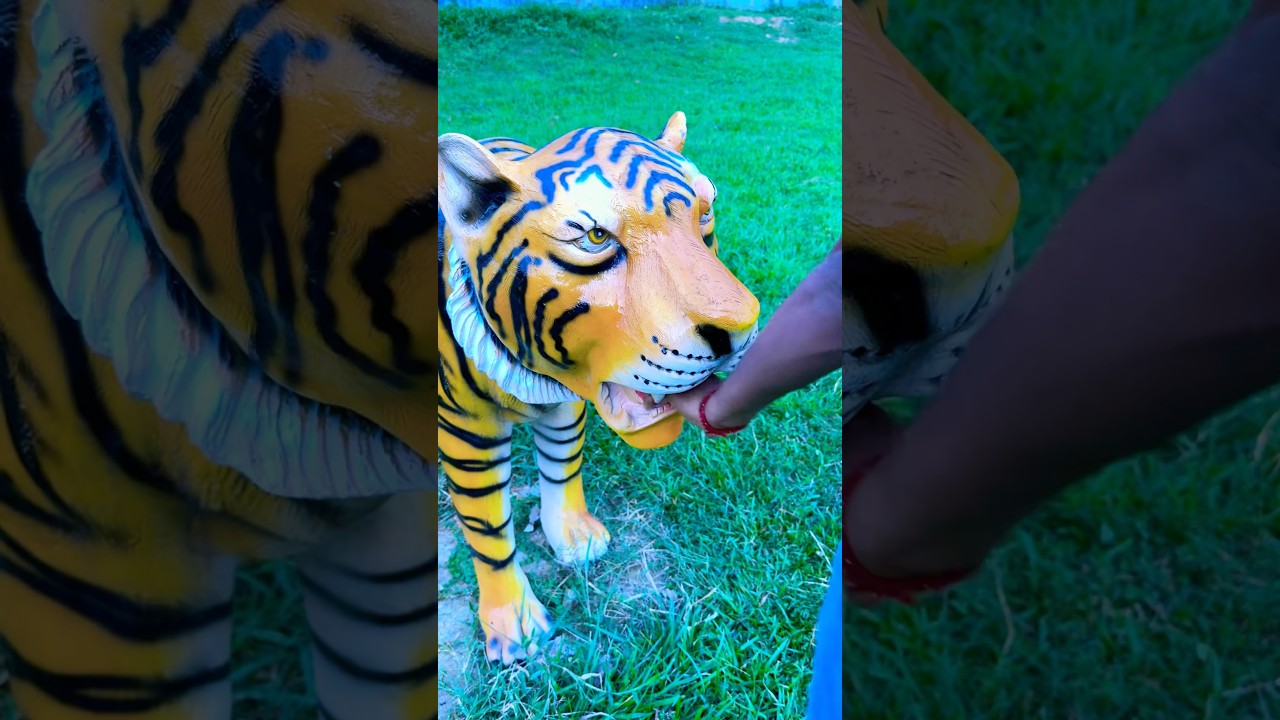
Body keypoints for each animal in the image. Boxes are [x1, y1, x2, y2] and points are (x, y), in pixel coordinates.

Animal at [437, 112, 761, 666]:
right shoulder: (466, 433)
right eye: (593, 237)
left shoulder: (565, 404)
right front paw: (514, 623)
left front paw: (574, 536)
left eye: (705, 215)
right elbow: (486, 526)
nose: (740, 328)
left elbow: (562, 466)